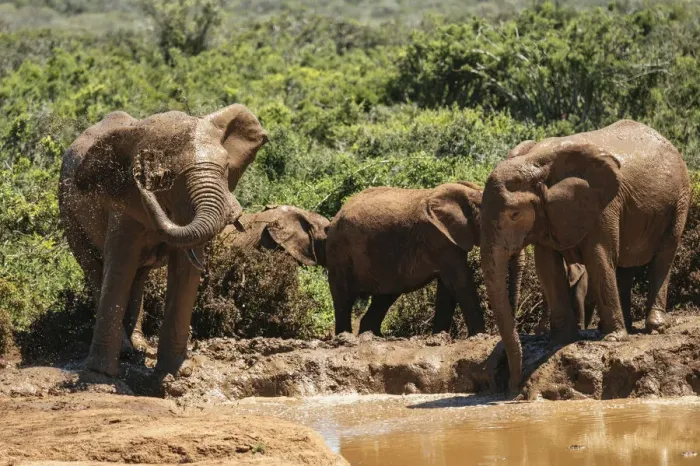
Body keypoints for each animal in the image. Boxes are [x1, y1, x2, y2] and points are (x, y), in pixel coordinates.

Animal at [59, 104, 267, 377]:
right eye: (167, 178)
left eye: (226, 167)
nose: (141, 170)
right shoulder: (122, 204)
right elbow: (119, 266)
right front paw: (100, 374)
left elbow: (184, 272)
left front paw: (177, 371)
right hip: (67, 209)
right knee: (94, 268)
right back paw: (126, 350)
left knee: (138, 276)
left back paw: (138, 345)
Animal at [326, 182, 522, 336]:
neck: (471, 194)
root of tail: (335, 217)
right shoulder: (439, 239)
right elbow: (461, 281)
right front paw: (479, 335)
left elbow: (448, 287)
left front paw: (439, 336)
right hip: (340, 253)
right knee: (344, 298)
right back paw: (345, 337)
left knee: (384, 296)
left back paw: (372, 336)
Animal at [481, 120, 690, 392]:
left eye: (515, 215)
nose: (513, 385)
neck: (536, 161)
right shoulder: (549, 215)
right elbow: (547, 267)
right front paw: (560, 341)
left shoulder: (602, 205)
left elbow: (598, 258)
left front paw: (613, 340)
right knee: (625, 265)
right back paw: (620, 326)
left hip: (680, 198)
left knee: (664, 253)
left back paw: (653, 328)